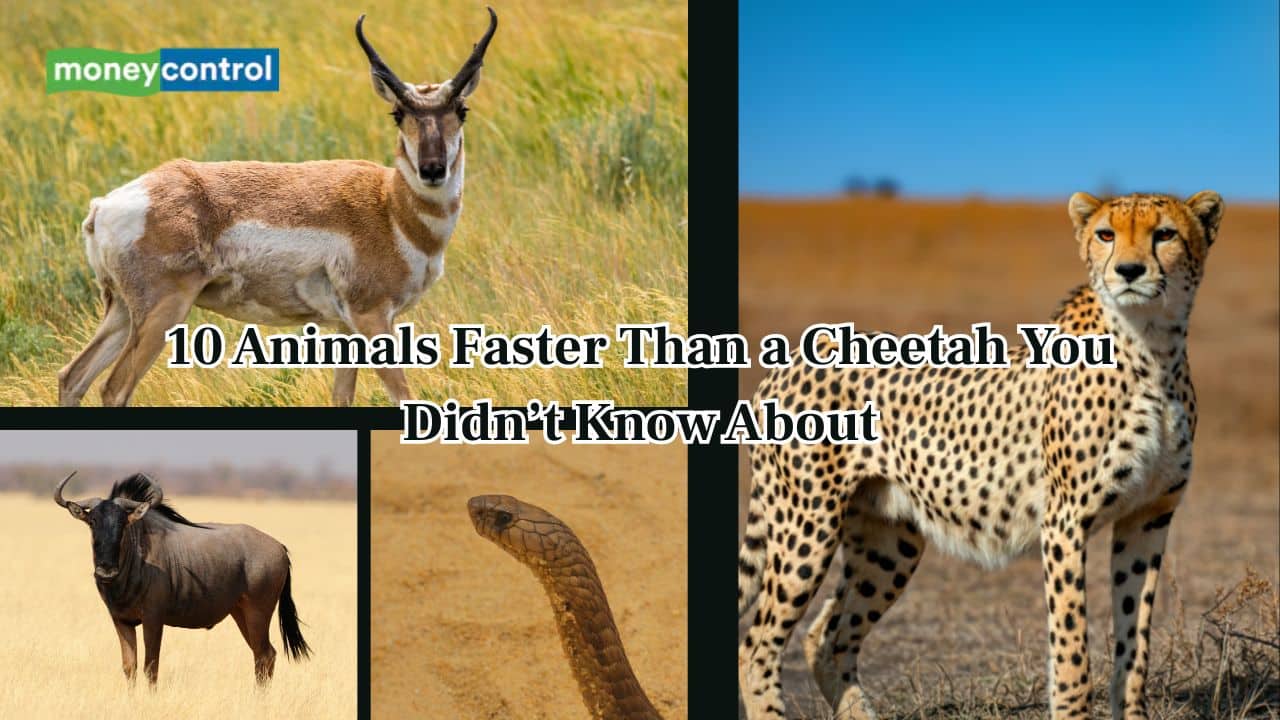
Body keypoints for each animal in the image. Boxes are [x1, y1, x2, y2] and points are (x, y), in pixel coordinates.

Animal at [737, 190, 1224, 720]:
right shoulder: (1065, 523)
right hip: (806, 524)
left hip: (888, 539)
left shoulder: (1148, 517)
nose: (1129, 271)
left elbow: (1134, 642)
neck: (1153, 349)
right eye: (1105, 234)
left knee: (828, 637)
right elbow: (1072, 646)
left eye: (1165, 234)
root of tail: (788, 361)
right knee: (757, 645)